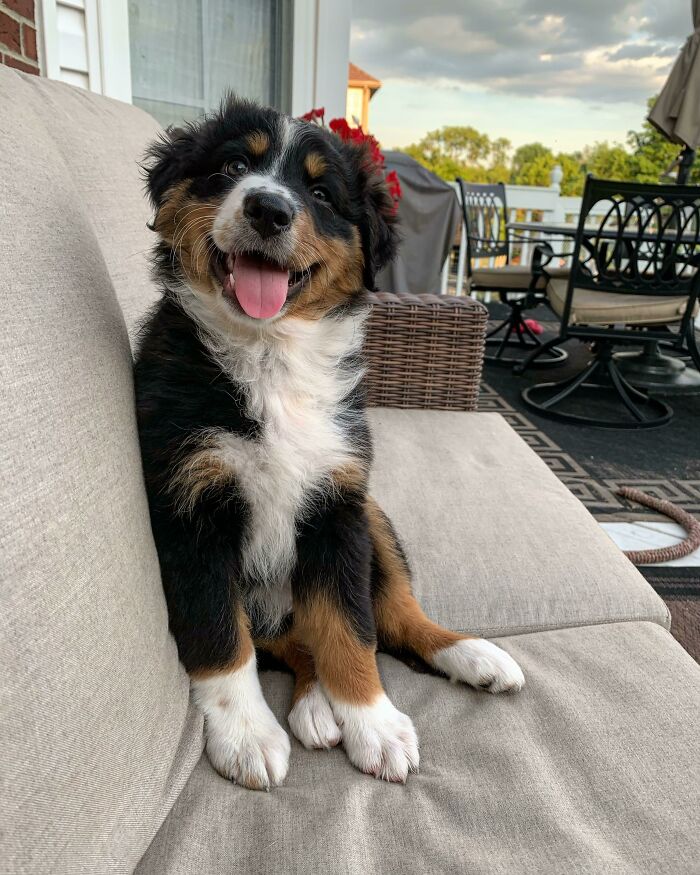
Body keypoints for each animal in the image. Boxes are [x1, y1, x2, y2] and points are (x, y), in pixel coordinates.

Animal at [134, 97, 524, 790]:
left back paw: (472, 655)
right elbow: (220, 635)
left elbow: (350, 629)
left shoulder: (337, 502)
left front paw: (374, 721)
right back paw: (315, 706)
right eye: (233, 166)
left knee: (395, 616)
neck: (271, 358)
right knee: (290, 643)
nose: (269, 208)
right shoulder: (189, 510)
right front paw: (246, 735)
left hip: (376, 518)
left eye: (320, 192)